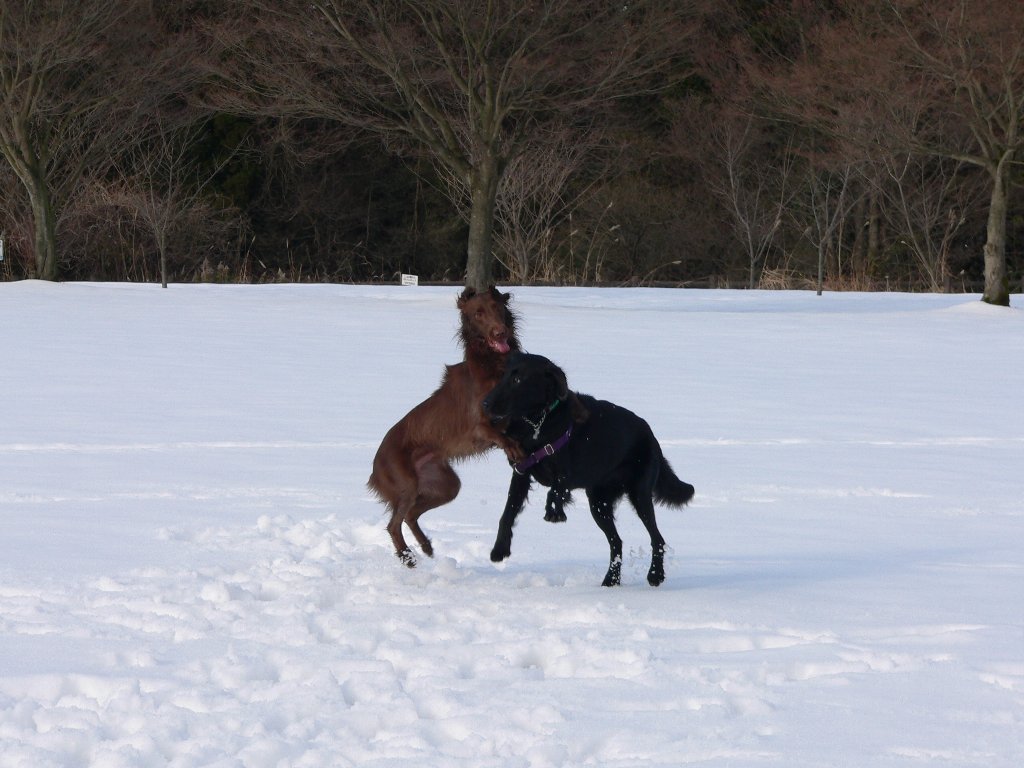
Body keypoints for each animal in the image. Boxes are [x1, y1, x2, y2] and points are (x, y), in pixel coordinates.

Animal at [368, 287, 522, 566]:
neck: (493, 364)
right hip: (406, 483)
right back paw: (407, 557)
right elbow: (502, 435)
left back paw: (426, 546)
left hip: (446, 485)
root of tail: (374, 469)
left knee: (411, 515)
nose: (500, 333)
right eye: (478, 313)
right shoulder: (480, 426)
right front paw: (515, 450)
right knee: (394, 524)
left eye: (498, 307)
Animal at [483, 352, 695, 586]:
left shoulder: (567, 475)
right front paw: (500, 549)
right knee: (617, 542)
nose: (485, 404)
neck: (539, 422)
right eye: (503, 376)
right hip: (599, 503)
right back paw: (611, 581)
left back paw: (655, 575)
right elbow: (507, 513)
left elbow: (555, 490)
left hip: (639, 495)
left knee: (657, 538)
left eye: (518, 380)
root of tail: (651, 436)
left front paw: (554, 512)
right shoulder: (521, 472)